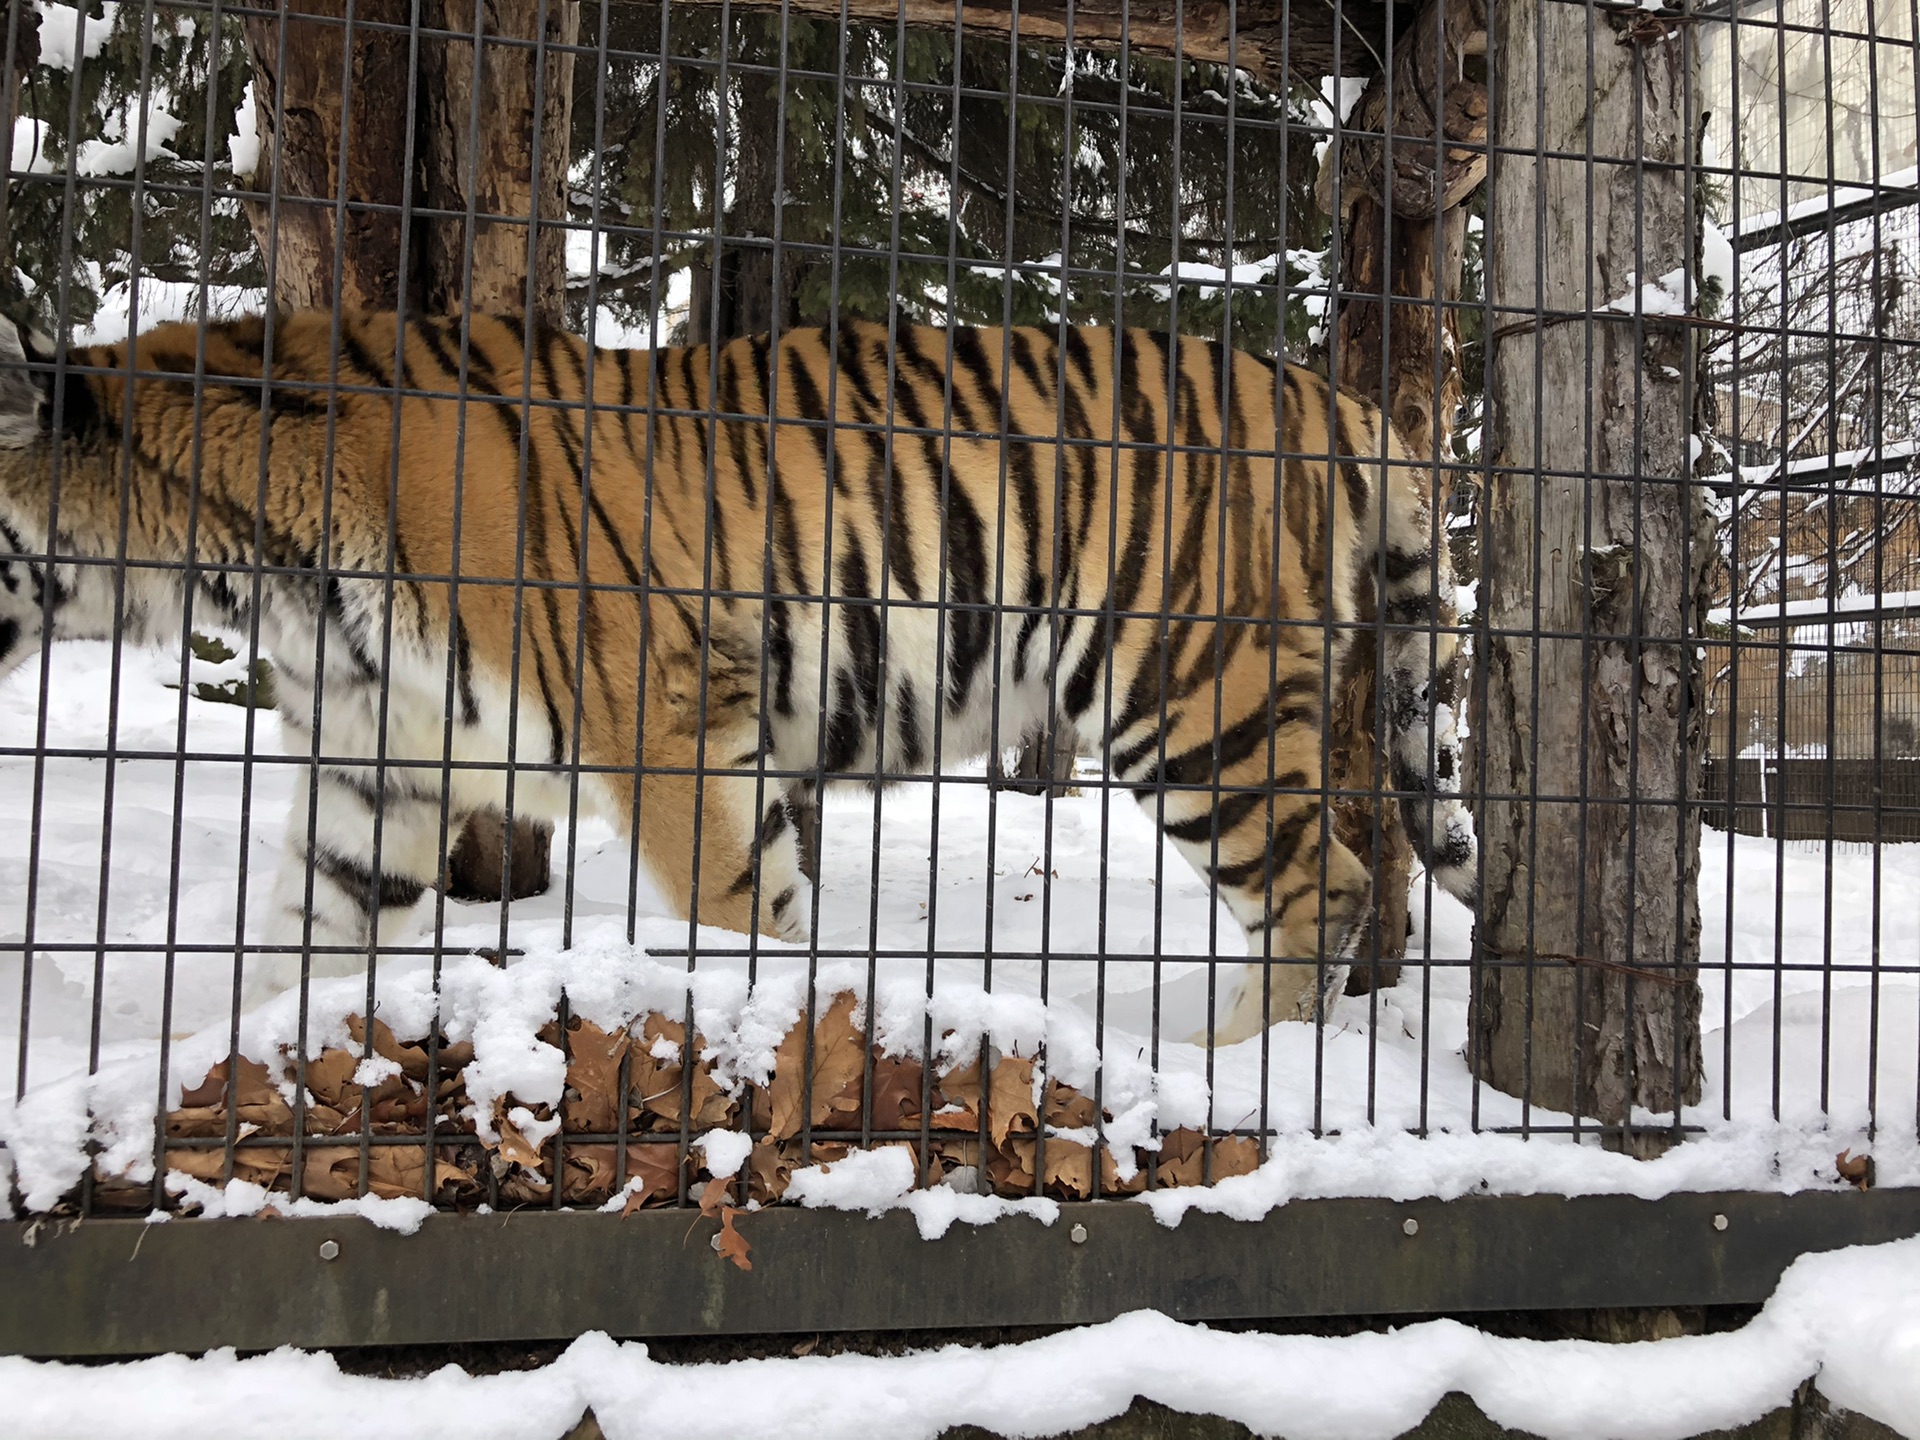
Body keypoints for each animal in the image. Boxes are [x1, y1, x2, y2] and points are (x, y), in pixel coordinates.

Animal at [0, 312, 1466, 1036]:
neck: (243, 565)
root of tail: (1341, 398)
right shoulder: (381, 763)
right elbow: (301, 941)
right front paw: (198, 1065)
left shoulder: (665, 727)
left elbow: (740, 911)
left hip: (1188, 695)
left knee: (1324, 883)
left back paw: (1211, 1072)